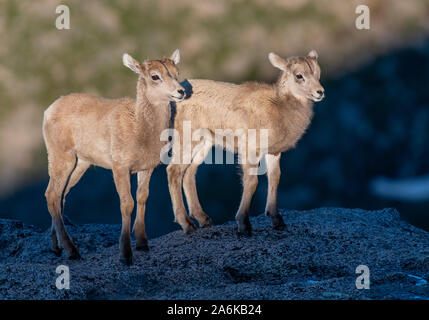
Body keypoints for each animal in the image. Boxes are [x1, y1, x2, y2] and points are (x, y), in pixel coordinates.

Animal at [43, 50, 184, 264]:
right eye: (155, 76)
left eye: (176, 73)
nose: (181, 92)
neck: (139, 128)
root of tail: (49, 110)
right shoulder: (120, 168)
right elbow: (127, 204)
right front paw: (126, 254)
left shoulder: (146, 168)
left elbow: (142, 197)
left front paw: (142, 244)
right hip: (62, 158)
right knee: (52, 195)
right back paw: (72, 252)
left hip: (81, 164)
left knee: (61, 196)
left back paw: (56, 248)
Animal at [167, 49, 324, 235]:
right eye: (299, 75)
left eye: (318, 72)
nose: (320, 92)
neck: (278, 107)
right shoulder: (250, 151)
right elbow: (251, 182)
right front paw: (243, 225)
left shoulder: (273, 153)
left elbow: (274, 178)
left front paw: (278, 221)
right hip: (186, 140)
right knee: (174, 171)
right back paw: (187, 224)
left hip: (203, 144)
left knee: (189, 174)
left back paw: (204, 220)